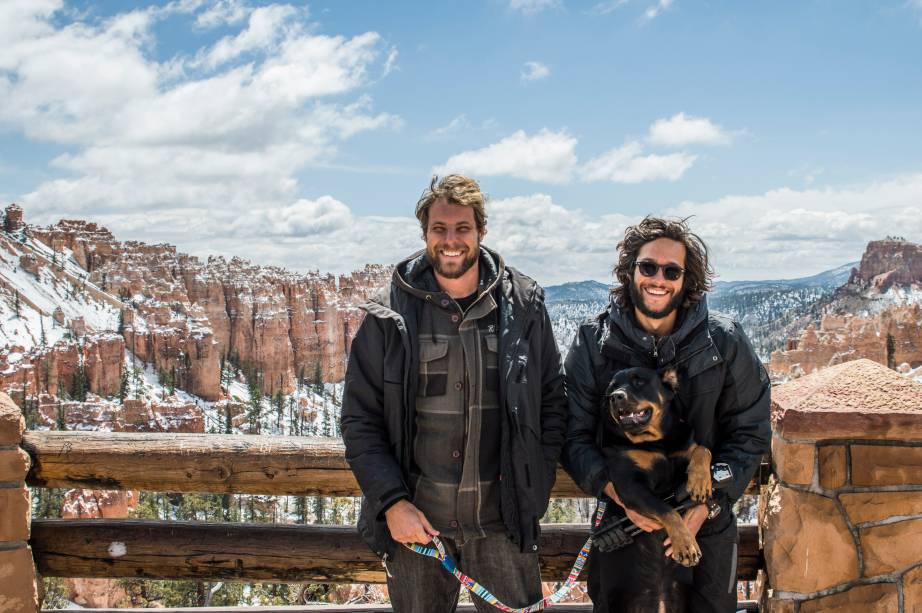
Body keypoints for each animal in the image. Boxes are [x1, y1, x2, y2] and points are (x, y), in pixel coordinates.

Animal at [592, 366, 716, 608]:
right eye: (612, 388)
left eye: (639, 381)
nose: (615, 397)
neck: (656, 442)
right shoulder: (630, 485)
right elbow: (667, 510)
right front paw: (686, 545)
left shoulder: (683, 447)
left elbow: (702, 449)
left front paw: (699, 481)